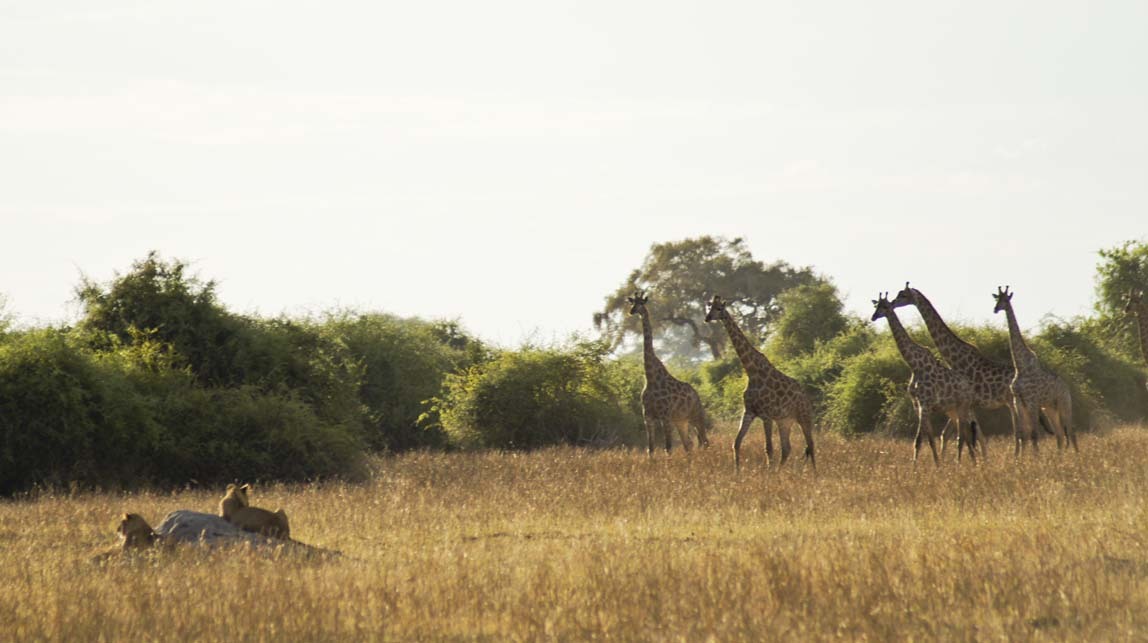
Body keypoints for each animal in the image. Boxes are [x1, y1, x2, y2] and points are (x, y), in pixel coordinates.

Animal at [629, 291, 707, 452]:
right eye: (632, 302)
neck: (650, 377)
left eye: (641, 303)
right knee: (689, 444)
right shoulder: (648, 417)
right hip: (681, 420)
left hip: (696, 415)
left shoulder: (664, 416)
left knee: (703, 441)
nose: (632, 311)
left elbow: (668, 448)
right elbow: (651, 449)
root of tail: (696, 394)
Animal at [697, 293, 817, 470]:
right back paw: (780, 471)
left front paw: (767, 473)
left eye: (719, 308)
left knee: (811, 445)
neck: (751, 371)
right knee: (787, 448)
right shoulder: (749, 412)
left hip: (804, 416)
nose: (707, 318)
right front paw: (737, 472)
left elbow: (768, 448)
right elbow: (736, 443)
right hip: (784, 420)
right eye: (710, 307)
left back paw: (815, 474)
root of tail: (807, 397)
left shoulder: (766, 415)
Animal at [867, 293, 978, 463]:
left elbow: (919, 439)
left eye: (885, 306)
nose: (873, 316)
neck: (914, 365)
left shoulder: (924, 404)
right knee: (965, 435)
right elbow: (929, 438)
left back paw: (963, 463)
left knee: (963, 436)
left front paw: (915, 466)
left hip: (962, 406)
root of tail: (970, 387)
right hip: (952, 409)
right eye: (876, 306)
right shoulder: (917, 405)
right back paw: (972, 462)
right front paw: (937, 464)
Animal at [991, 285, 1079, 456]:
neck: (1020, 366)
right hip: (1050, 408)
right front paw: (1020, 459)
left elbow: (1033, 433)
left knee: (1071, 431)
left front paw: (1035, 458)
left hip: (1064, 404)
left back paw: (1077, 456)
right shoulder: (1019, 401)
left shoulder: (1031, 401)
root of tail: (1067, 388)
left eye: (1005, 300)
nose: (996, 309)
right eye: (996, 299)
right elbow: (1023, 434)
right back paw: (1061, 457)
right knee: (1059, 434)